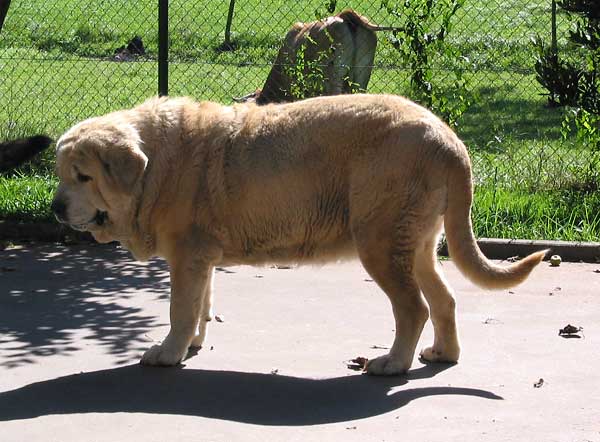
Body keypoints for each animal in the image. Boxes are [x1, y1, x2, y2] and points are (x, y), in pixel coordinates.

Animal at [52, 95, 548, 374]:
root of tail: (449, 139)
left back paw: (392, 363)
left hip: (381, 244)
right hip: (417, 245)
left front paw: (169, 353)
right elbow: (201, 307)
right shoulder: (200, 259)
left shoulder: (187, 256)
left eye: (83, 176)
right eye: (61, 174)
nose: (55, 207)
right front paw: (191, 344)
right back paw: (443, 354)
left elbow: (180, 310)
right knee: (443, 300)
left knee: (414, 307)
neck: (156, 166)